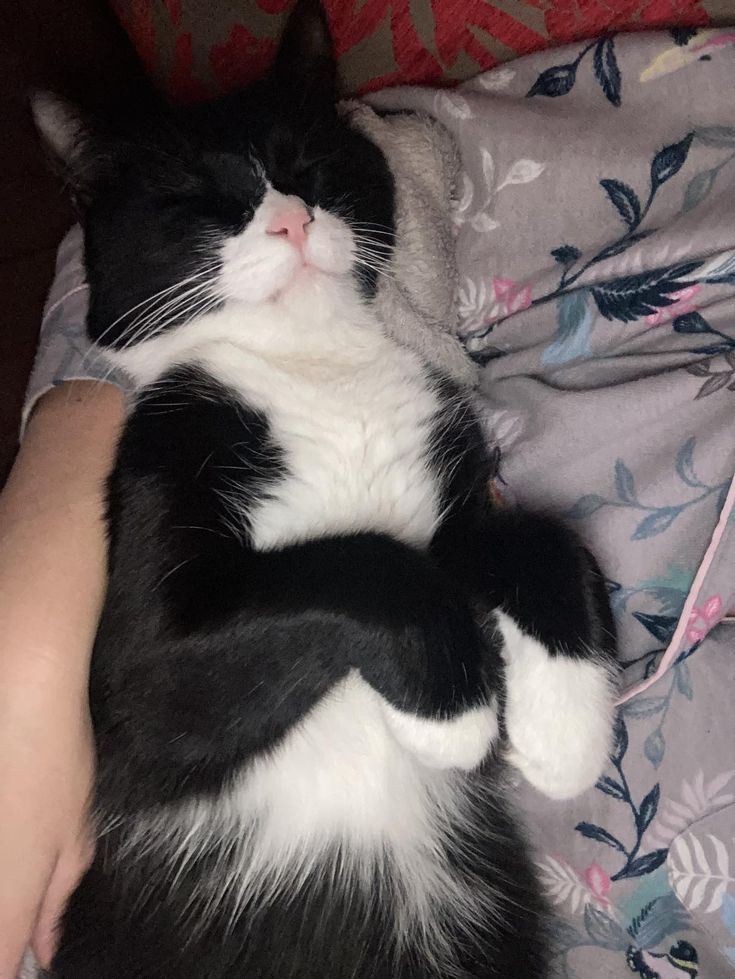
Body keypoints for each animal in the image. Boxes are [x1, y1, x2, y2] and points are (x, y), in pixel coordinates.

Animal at [34, 3, 620, 976]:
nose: (289, 219)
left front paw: (565, 726)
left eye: (308, 162)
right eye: (195, 198)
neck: (319, 367)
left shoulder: (452, 463)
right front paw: (456, 708)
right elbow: (359, 566)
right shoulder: (134, 665)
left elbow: (537, 537)